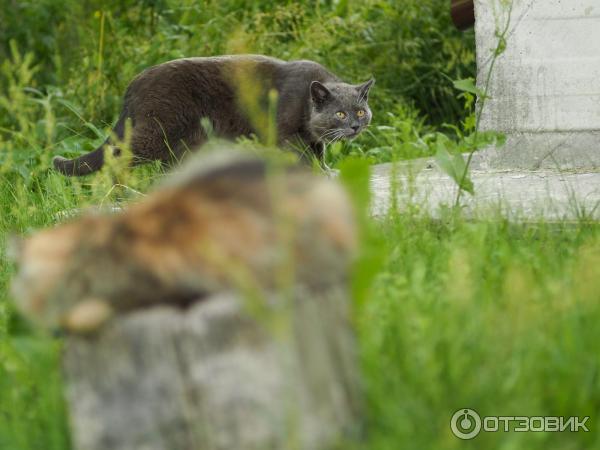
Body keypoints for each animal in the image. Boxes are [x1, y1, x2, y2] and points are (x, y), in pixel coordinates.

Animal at [54, 54, 372, 176]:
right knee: (117, 157)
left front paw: (327, 170)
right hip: (155, 133)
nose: (355, 126)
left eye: (360, 111)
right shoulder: (284, 134)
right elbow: (303, 156)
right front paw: (314, 172)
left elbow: (318, 153)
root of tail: (133, 84)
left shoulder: (313, 139)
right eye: (340, 114)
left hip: (186, 144)